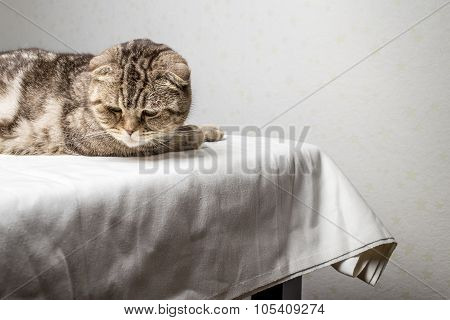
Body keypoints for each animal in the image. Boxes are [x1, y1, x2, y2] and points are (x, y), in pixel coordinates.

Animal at [0, 38, 222, 156]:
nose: (130, 131)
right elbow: (160, 142)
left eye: (150, 113)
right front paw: (194, 133)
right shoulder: (86, 136)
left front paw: (209, 129)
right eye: (114, 109)